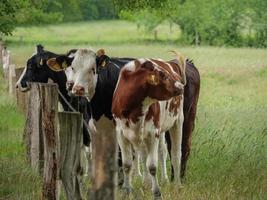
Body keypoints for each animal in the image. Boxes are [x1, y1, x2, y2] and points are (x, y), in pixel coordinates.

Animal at [111, 54, 186, 199]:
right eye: (163, 75)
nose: (181, 86)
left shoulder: (153, 133)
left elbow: (152, 166)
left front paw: (156, 193)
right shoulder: (121, 134)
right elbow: (127, 164)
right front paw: (126, 191)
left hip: (178, 120)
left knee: (175, 154)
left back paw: (177, 185)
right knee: (152, 152)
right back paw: (147, 183)